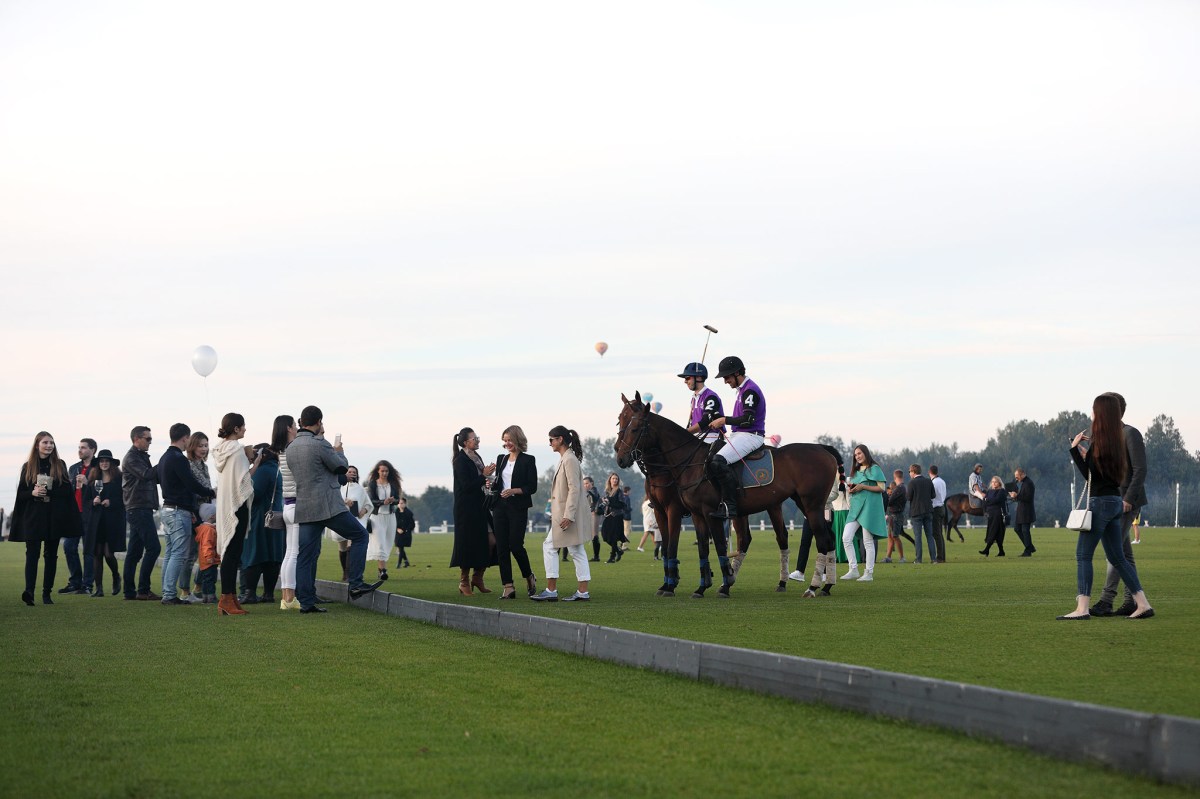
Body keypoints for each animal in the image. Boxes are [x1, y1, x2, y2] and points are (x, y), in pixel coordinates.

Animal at [615, 392, 840, 598]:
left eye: (634, 428)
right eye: (620, 420)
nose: (620, 456)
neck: (686, 463)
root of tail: (823, 449)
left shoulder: (692, 511)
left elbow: (709, 546)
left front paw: (678, 585)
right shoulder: (685, 513)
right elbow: (701, 548)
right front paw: (699, 586)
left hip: (811, 504)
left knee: (821, 540)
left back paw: (812, 587)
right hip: (797, 503)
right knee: (821, 538)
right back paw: (824, 586)